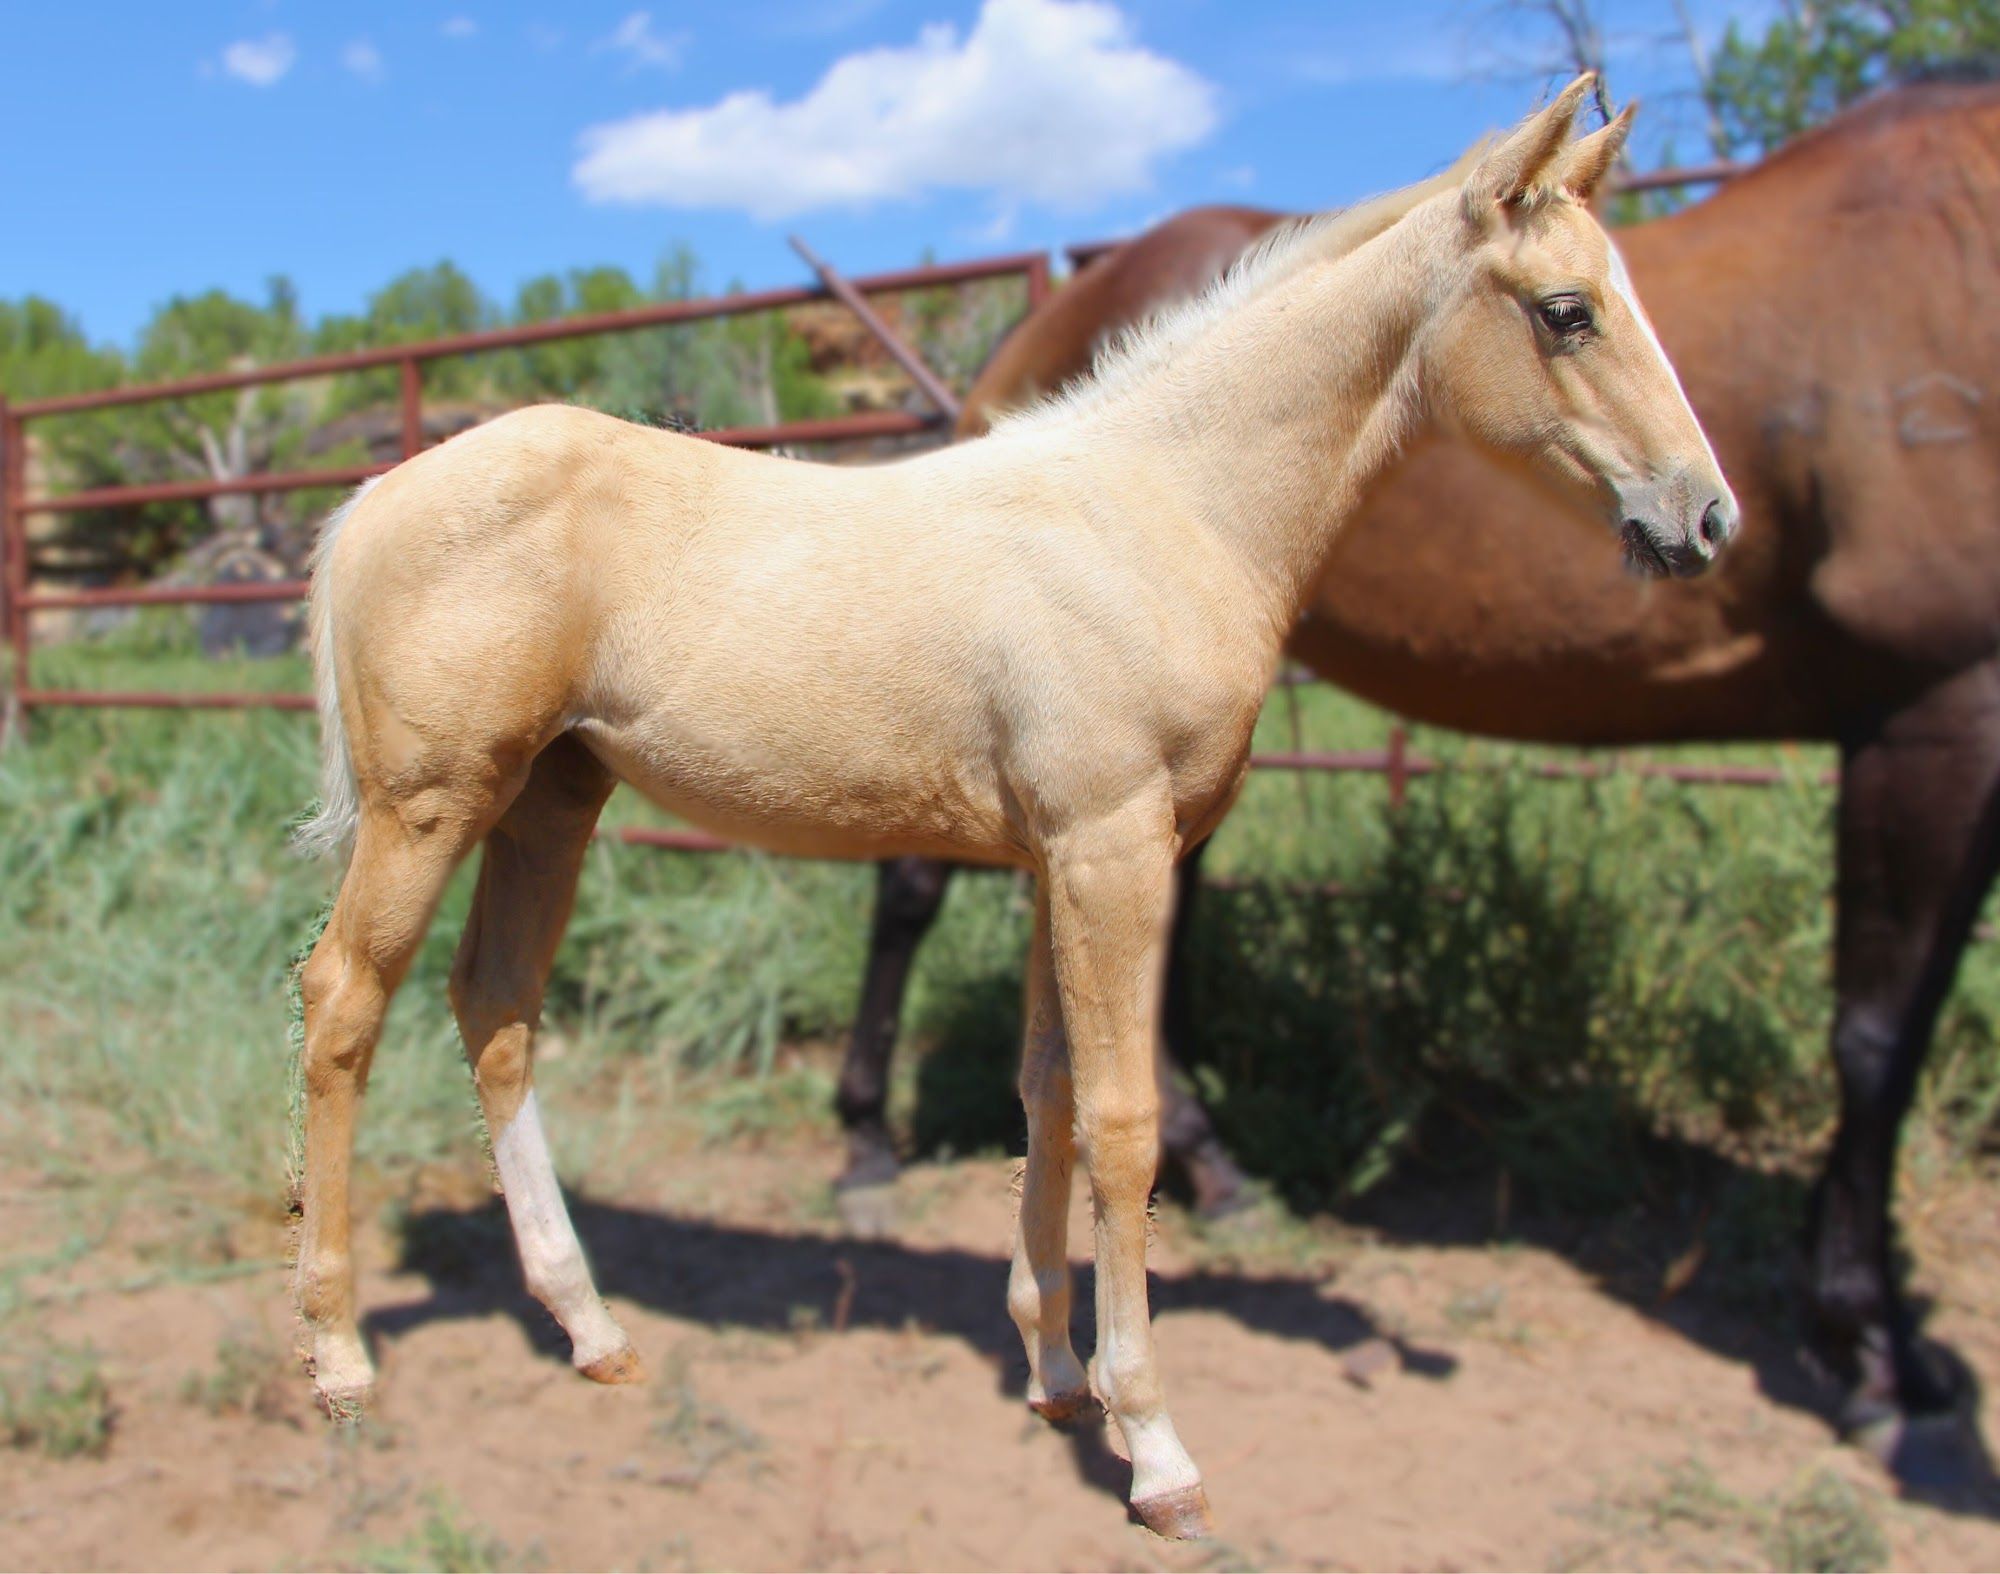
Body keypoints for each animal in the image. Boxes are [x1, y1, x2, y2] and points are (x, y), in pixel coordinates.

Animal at [293, 82, 1729, 1538]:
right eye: (1567, 309)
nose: (1705, 517)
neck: (1162, 508)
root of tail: (377, 497)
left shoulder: (1055, 859)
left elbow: (1045, 1089)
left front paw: (1053, 1373)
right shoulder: (1112, 848)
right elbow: (1122, 1119)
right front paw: (1154, 1447)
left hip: (552, 799)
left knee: (496, 1008)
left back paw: (591, 1327)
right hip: (430, 805)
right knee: (345, 1000)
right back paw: (341, 1356)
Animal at [833, 73, 2000, 1474]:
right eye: (1566, 312)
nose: (1706, 517)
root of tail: (1046, 319)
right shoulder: (1934, 711)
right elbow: (1876, 1037)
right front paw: (1870, 1352)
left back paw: (1205, 1172)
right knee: (915, 890)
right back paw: (865, 1145)